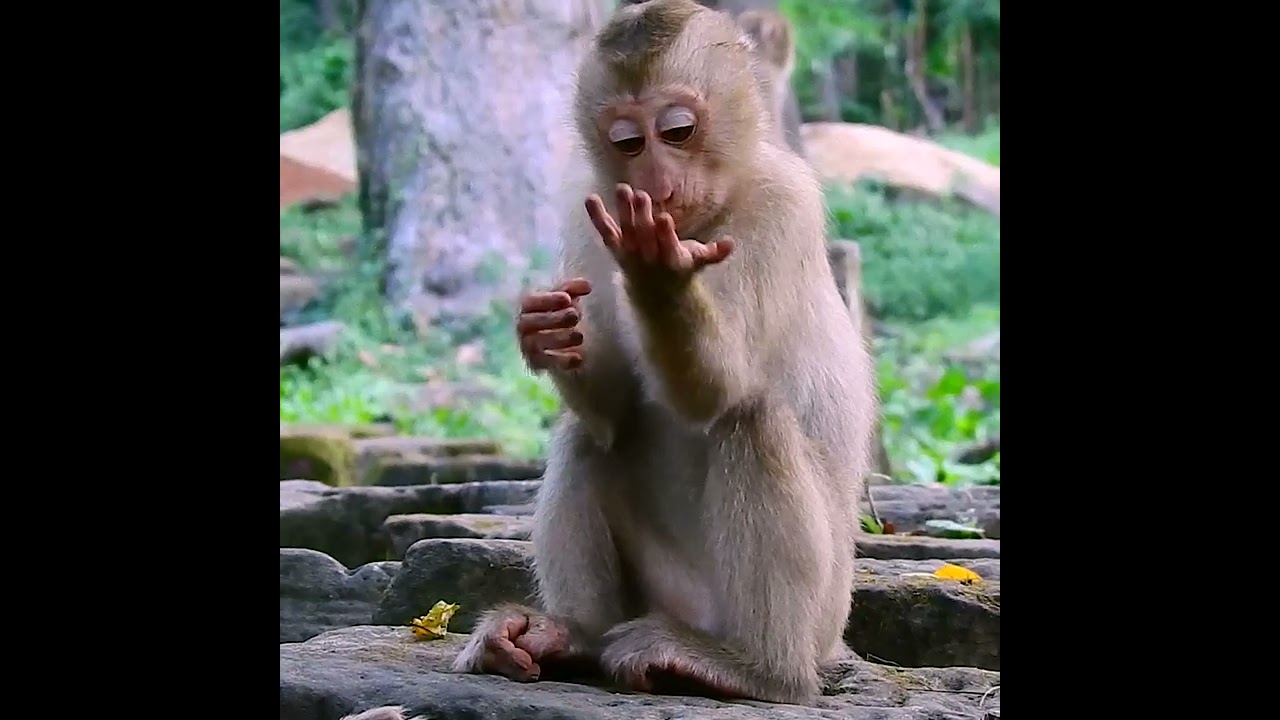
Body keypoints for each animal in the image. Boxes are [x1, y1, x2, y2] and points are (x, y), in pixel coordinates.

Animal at [453, 0, 875, 706]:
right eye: (627, 142)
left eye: (677, 130)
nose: (652, 179)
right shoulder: (587, 209)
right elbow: (615, 409)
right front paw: (547, 333)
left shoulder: (780, 203)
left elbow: (717, 390)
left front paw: (656, 275)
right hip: (657, 588)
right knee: (588, 436)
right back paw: (571, 636)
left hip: (818, 617)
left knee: (751, 416)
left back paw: (757, 670)